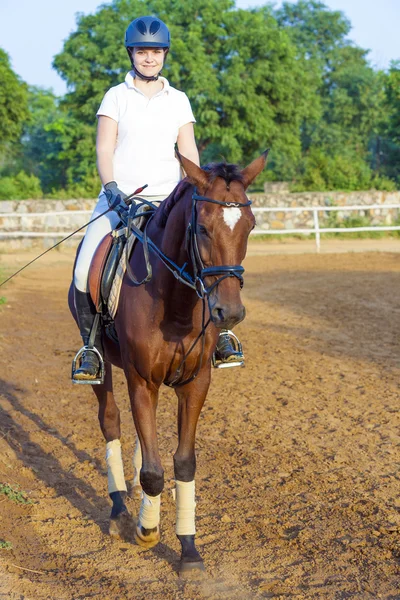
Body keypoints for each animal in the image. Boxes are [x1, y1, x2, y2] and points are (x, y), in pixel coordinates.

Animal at [69, 149, 268, 572]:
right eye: (203, 228)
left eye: (250, 226)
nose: (229, 312)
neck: (176, 304)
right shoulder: (141, 380)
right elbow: (153, 470)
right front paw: (146, 530)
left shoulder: (195, 383)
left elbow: (183, 463)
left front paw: (189, 548)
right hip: (103, 366)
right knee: (110, 421)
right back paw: (119, 511)